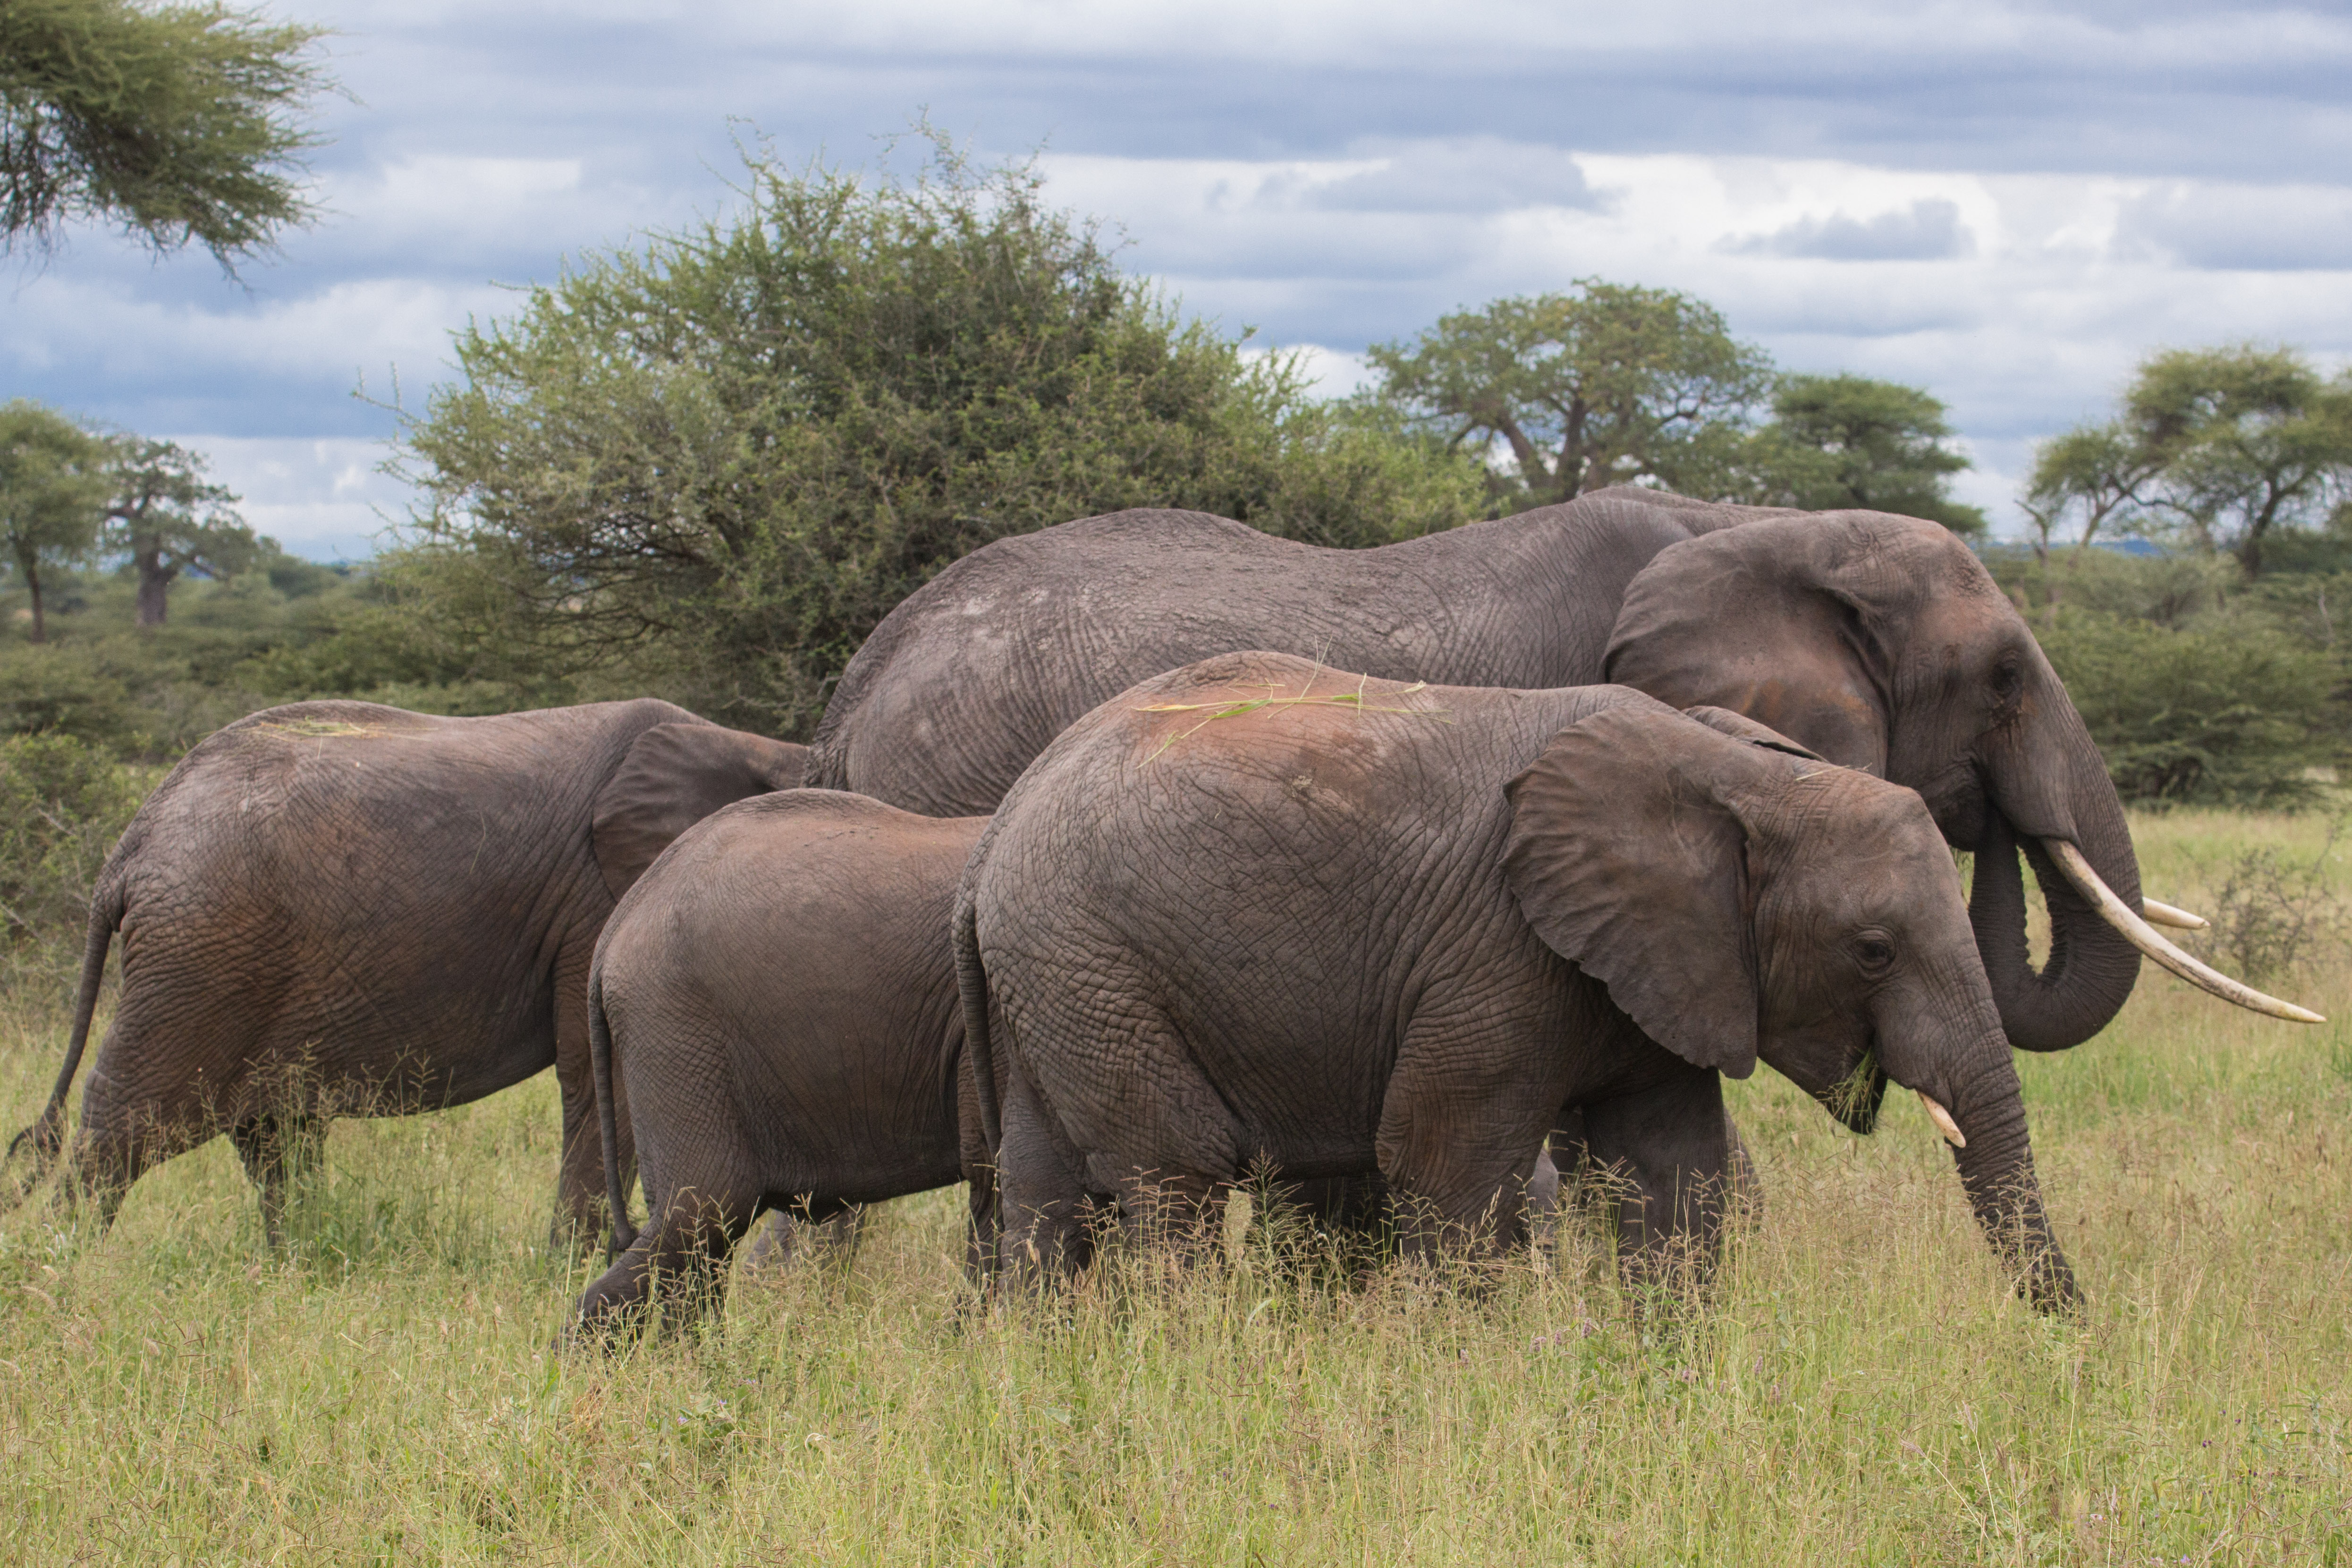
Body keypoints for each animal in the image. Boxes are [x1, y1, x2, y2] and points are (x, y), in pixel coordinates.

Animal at [0, 705, 809, 1241]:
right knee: (130, 1121)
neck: (754, 745)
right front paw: (581, 1258)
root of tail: (129, 847)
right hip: (199, 955)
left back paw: (295, 1257)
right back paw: (64, 1263)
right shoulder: (595, 905)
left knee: (273, 1131)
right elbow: (594, 1072)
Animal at [950, 653, 2079, 1316]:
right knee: (1173, 1173)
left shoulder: (1661, 962)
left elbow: (1672, 1171)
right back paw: (1191, 1361)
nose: (2070, 1341)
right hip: (1091, 957)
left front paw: (1658, 1370)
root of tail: (998, 828)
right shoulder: (1498, 946)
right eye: (1874, 950)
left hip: (1053, 975)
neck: (1738, 770)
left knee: (1045, 1182)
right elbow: (1443, 1162)